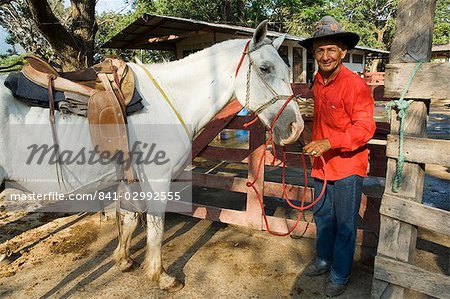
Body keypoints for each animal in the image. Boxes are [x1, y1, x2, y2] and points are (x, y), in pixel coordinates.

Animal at [0, 21, 304, 292]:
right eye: (265, 68)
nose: (296, 127)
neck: (169, 100)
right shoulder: (157, 181)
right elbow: (156, 230)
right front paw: (161, 276)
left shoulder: (129, 178)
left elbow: (130, 220)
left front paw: (124, 260)